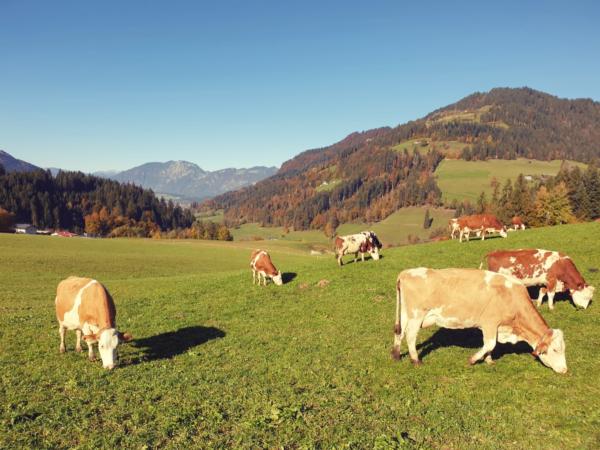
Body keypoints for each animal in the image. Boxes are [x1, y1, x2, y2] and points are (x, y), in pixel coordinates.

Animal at [390, 268, 568, 372]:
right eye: (555, 350)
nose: (565, 370)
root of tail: (405, 273)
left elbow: (491, 345)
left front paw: (488, 360)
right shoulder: (490, 322)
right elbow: (490, 344)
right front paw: (473, 359)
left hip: (405, 314)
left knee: (399, 333)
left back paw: (397, 355)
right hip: (416, 315)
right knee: (410, 336)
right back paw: (416, 360)